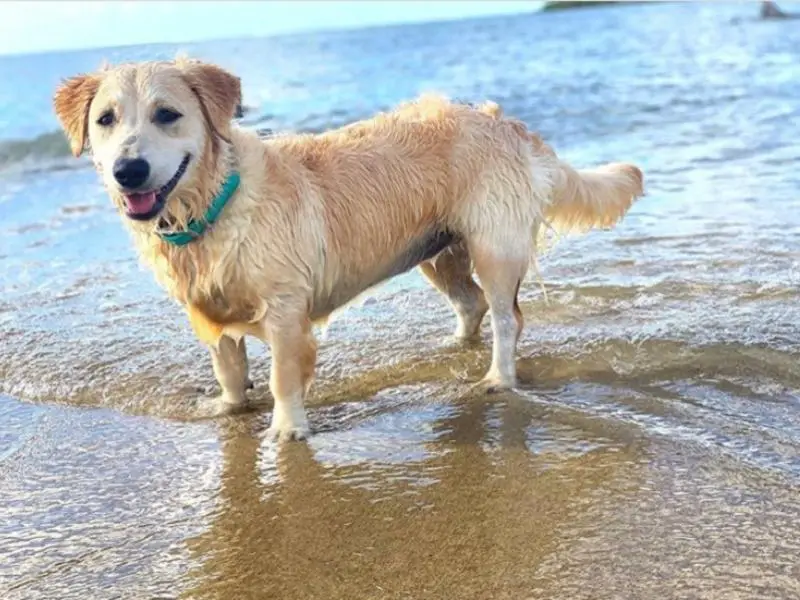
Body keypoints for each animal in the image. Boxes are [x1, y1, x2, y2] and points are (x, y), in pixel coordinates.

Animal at [53, 56, 644, 440]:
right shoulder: (206, 310)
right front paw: (228, 408)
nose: (128, 170)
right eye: (105, 120)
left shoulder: (285, 306)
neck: (213, 203)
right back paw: (454, 348)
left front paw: (286, 431)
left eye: (167, 115)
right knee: (470, 303)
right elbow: (229, 369)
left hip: (492, 246)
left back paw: (498, 377)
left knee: (506, 316)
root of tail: (506, 122)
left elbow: (283, 375)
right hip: (439, 254)